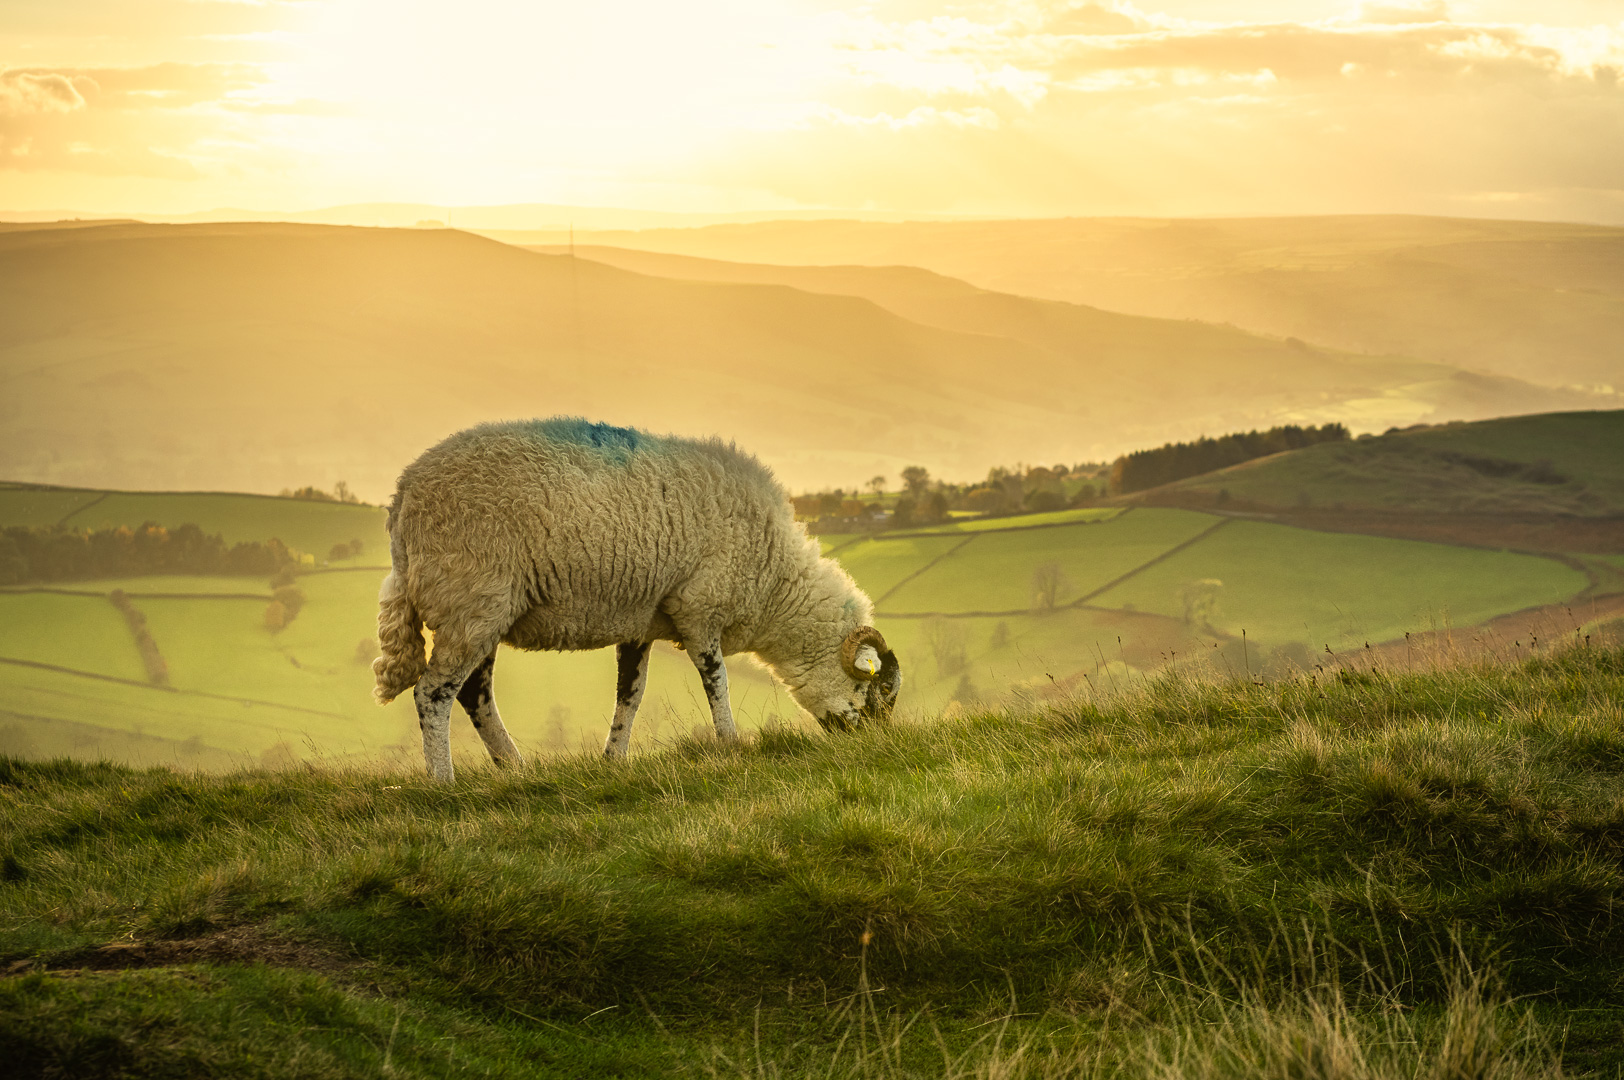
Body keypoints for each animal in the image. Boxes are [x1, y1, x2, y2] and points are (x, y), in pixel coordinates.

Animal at [372, 417, 902, 780]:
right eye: (873, 692)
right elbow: (717, 682)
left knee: (473, 695)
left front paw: (613, 759)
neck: (775, 581)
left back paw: (515, 767)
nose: (874, 748)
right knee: (433, 693)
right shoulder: (699, 607)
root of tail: (401, 502)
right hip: (469, 602)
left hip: (482, 613)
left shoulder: (641, 623)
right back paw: (444, 779)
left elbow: (631, 694)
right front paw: (732, 744)